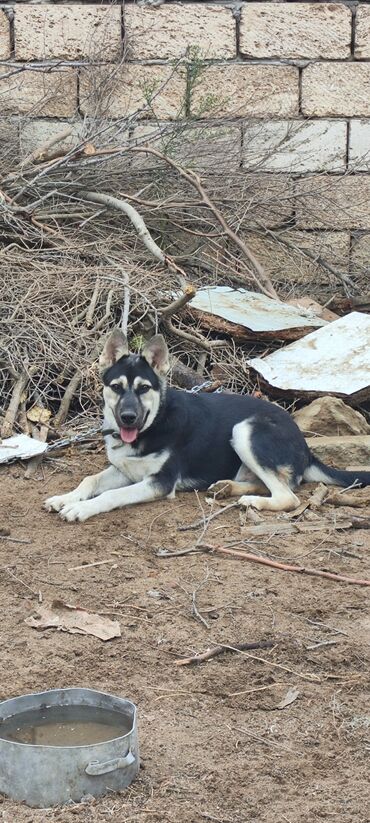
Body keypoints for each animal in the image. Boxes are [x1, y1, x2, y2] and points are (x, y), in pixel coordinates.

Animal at [44, 328, 370, 520]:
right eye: (116, 387)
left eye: (144, 388)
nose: (127, 418)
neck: (154, 424)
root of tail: (304, 444)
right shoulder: (124, 470)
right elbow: (91, 480)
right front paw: (64, 498)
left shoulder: (160, 482)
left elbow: (111, 494)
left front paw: (80, 508)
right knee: (269, 484)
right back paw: (227, 487)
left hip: (245, 430)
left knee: (287, 496)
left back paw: (252, 502)